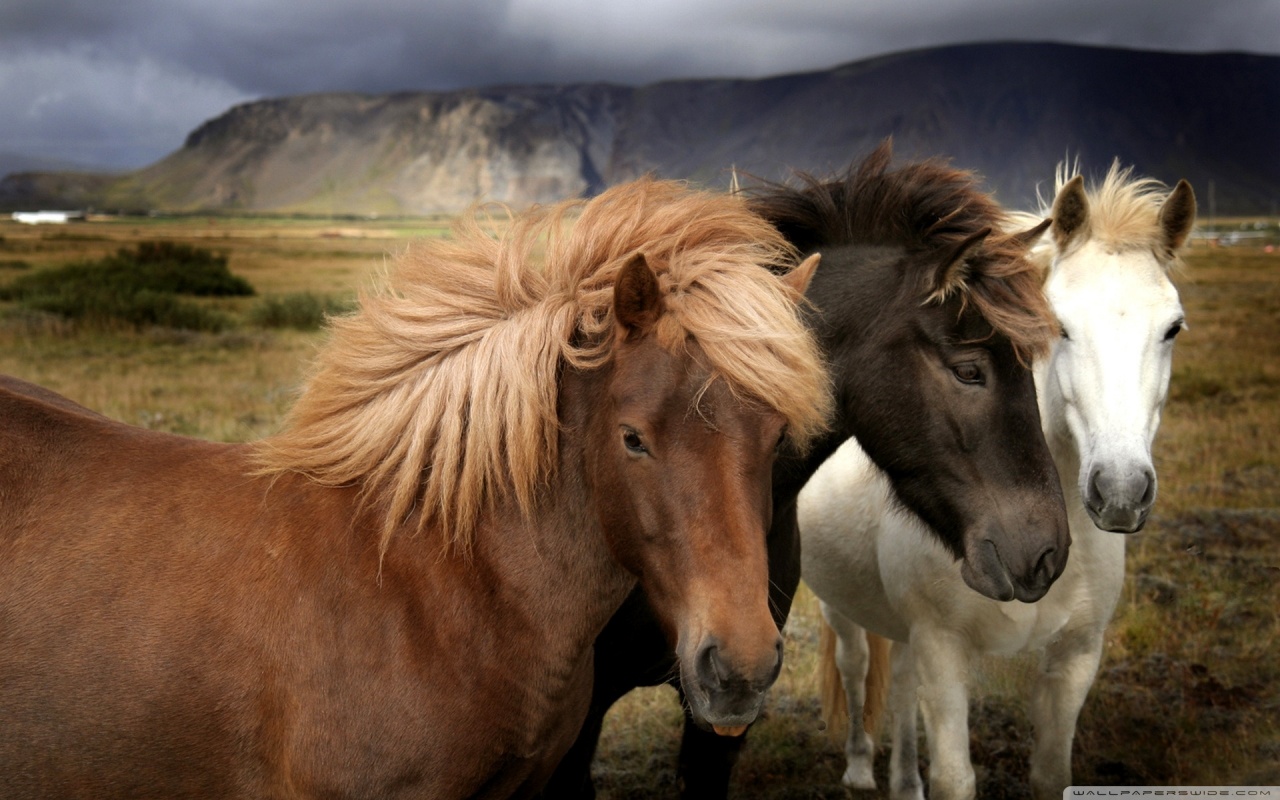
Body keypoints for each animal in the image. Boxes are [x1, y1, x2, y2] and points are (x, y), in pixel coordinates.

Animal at [802, 163, 1195, 800]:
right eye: (1060, 327)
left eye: (1173, 329)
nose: (1120, 490)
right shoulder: (943, 651)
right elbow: (955, 778)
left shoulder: (1076, 658)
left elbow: (1051, 773)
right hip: (839, 605)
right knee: (856, 665)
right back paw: (860, 768)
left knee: (901, 681)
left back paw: (903, 781)